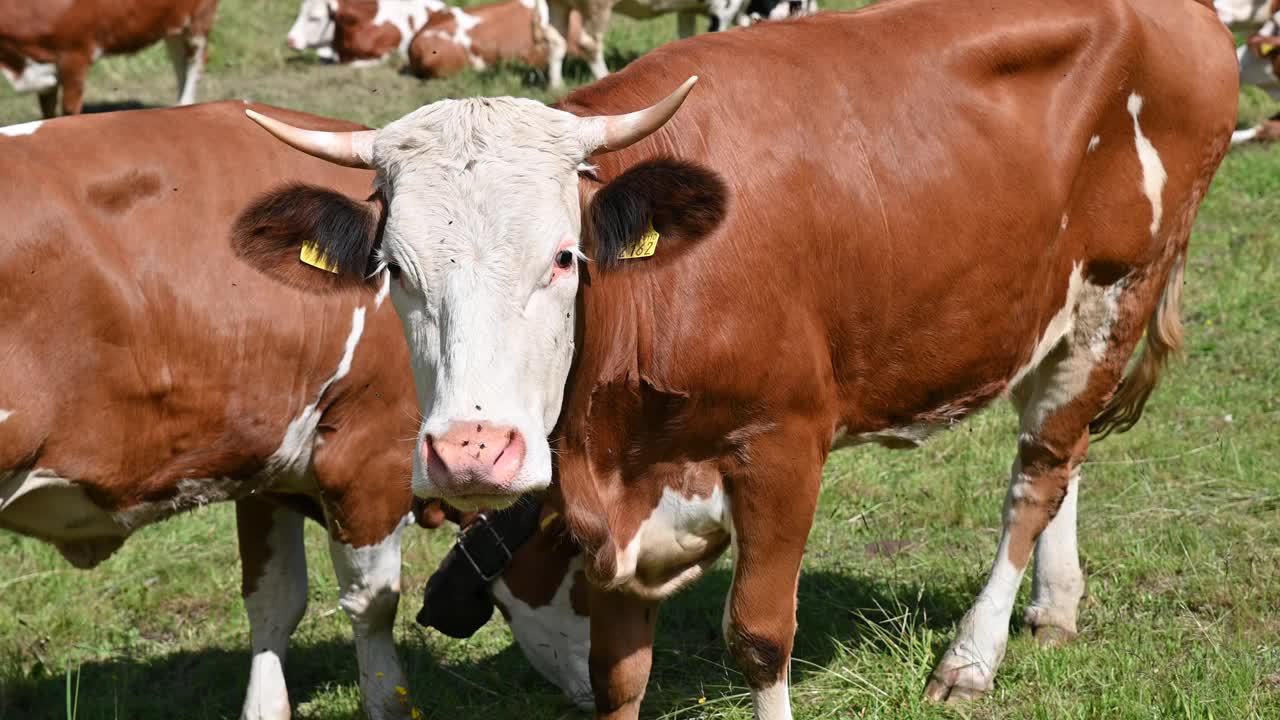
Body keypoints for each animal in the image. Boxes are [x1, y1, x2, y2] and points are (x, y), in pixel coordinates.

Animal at [0, 0, 216, 117]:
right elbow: (47, 111)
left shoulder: (75, 54)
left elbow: (69, 109)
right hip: (172, 23)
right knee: (179, 60)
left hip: (200, 17)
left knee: (195, 62)